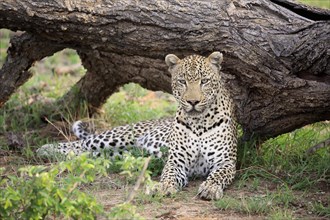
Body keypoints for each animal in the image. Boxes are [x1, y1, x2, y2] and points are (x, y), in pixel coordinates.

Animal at [37, 51, 236, 199]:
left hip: (117, 152)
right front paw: (163, 186)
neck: (199, 123)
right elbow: (169, 174)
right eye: (182, 81)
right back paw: (45, 149)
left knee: (89, 152)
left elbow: (218, 175)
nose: (193, 102)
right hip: (120, 136)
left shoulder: (226, 161)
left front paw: (210, 188)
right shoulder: (176, 160)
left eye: (204, 81)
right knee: (82, 143)